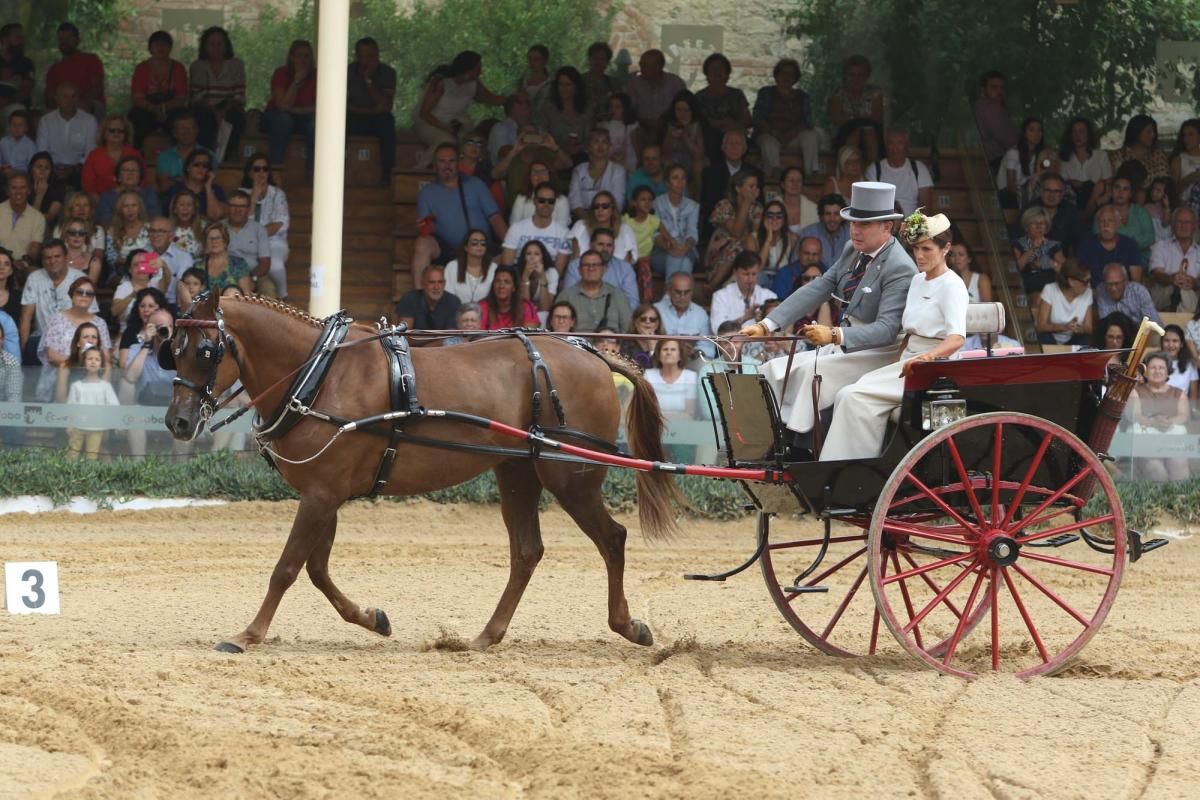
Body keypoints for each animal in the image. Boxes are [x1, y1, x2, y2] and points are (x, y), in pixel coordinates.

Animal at [164, 291, 681, 652]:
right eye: (173, 346)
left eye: (207, 350)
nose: (179, 422)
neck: (320, 374)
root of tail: (592, 354)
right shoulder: (323, 493)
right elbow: (317, 569)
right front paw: (372, 618)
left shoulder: (321, 495)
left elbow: (287, 568)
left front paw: (247, 635)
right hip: (518, 474)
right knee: (527, 552)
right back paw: (486, 636)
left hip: (571, 477)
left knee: (612, 539)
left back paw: (627, 626)